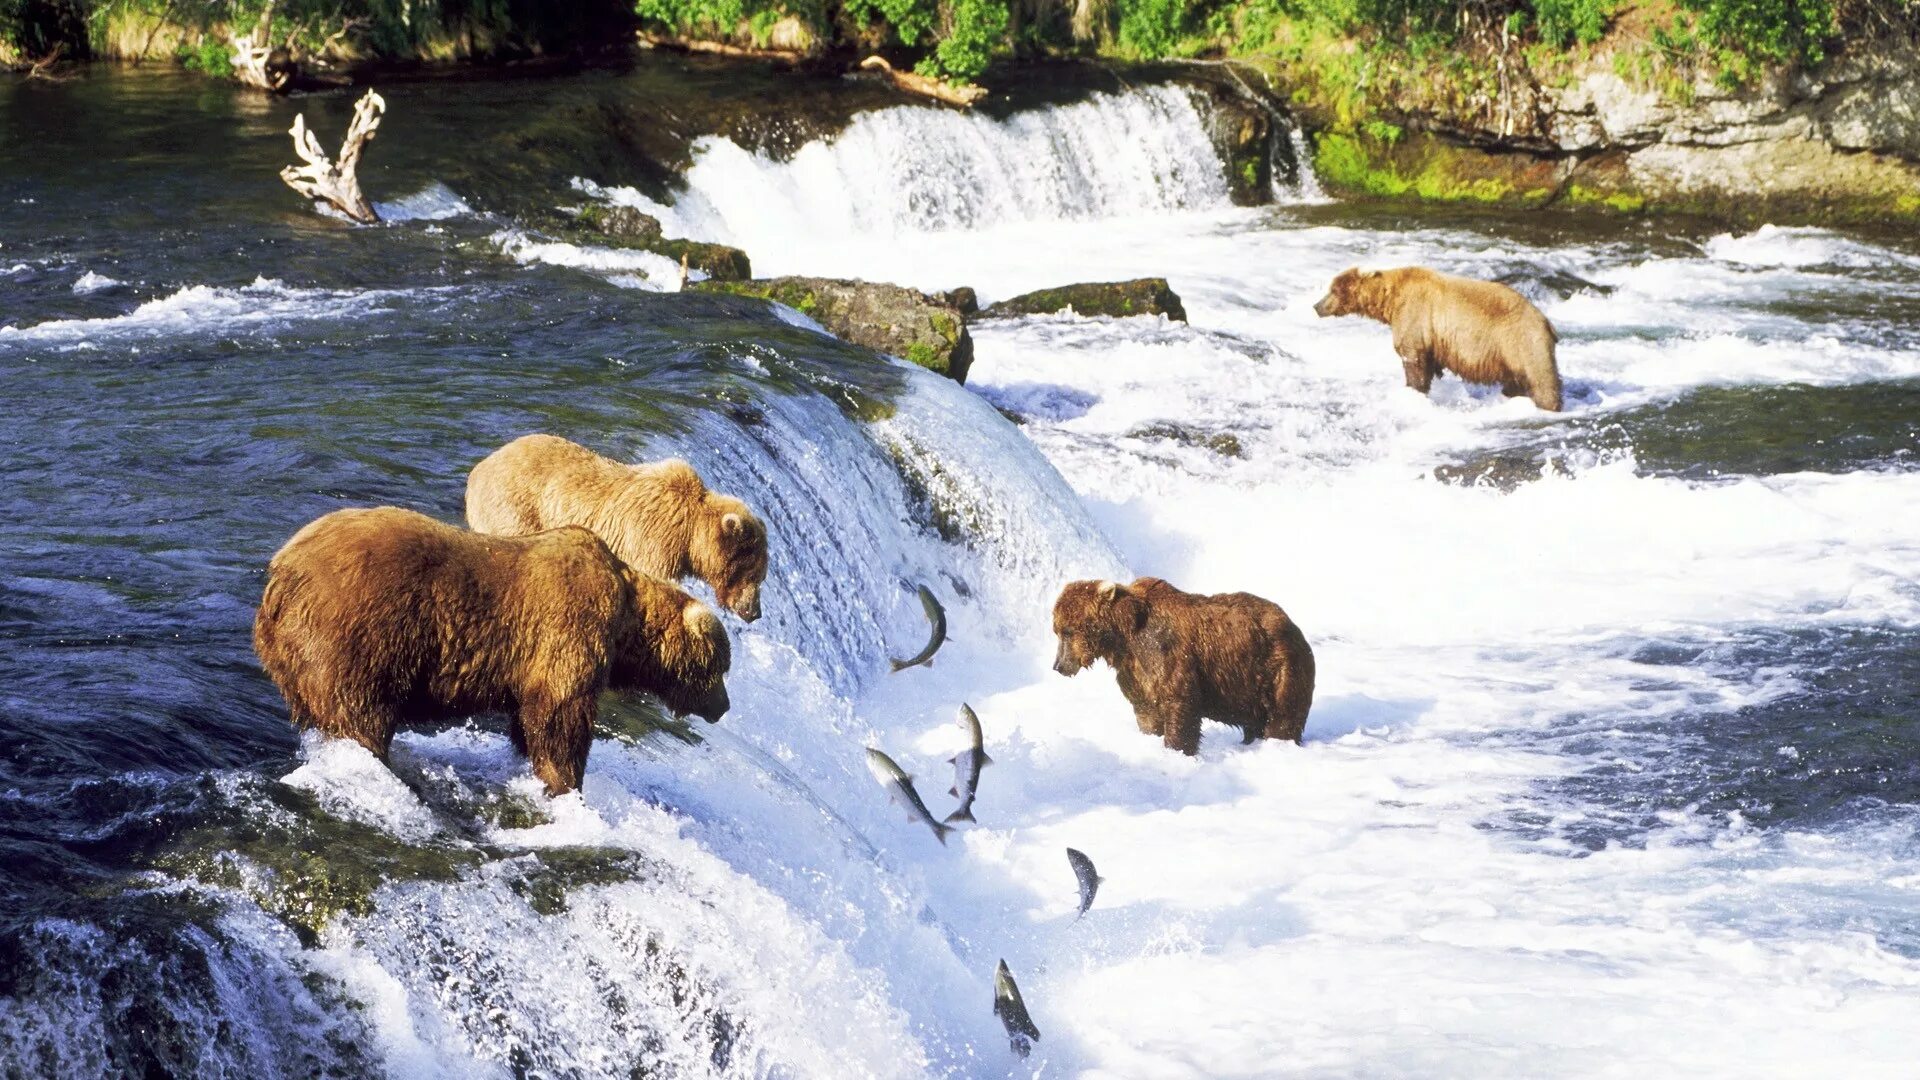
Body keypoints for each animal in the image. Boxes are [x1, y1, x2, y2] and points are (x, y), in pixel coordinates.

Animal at [251, 503, 729, 791]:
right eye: (721, 667)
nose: (723, 707)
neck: (627, 621)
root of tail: (281, 572)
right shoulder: (569, 630)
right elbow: (561, 716)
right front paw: (566, 782)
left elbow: (530, 718)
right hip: (358, 635)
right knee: (359, 712)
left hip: (291, 654)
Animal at [460, 434, 768, 622]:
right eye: (754, 574)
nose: (755, 612)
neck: (689, 535)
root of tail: (478, 469)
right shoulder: (651, 541)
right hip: (516, 509)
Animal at [1052, 576, 1320, 753]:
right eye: (1057, 630)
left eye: (1067, 631)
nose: (1059, 665)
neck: (1124, 638)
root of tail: (1292, 625)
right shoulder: (1134, 671)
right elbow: (1146, 711)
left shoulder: (1167, 654)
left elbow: (1180, 703)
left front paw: (1177, 748)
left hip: (1278, 667)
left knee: (1282, 717)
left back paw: (1279, 743)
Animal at [1313, 263, 1566, 409]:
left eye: (1333, 290)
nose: (1316, 306)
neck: (1389, 300)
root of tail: (1547, 322)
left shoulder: (1414, 315)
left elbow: (1412, 359)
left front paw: (1413, 390)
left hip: (1521, 341)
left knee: (1542, 379)